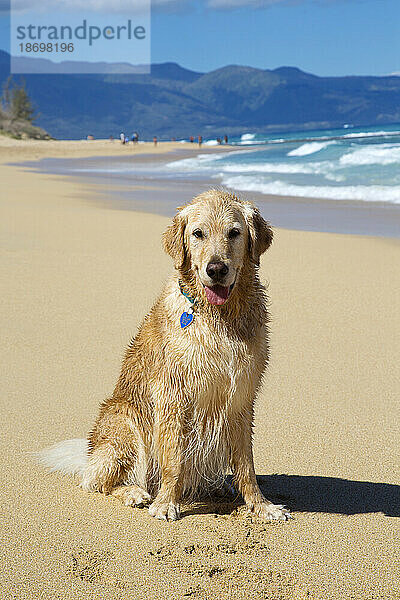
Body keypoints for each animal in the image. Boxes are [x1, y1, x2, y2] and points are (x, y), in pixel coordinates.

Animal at [39, 190, 290, 524]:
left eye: (234, 233)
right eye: (198, 234)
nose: (216, 269)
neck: (218, 317)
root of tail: (89, 451)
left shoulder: (241, 395)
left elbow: (246, 465)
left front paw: (261, 506)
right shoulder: (174, 396)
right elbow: (173, 458)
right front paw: (166, 502)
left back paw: (219, 487)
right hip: (126, 422)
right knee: (96, 480)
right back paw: (135, 492)